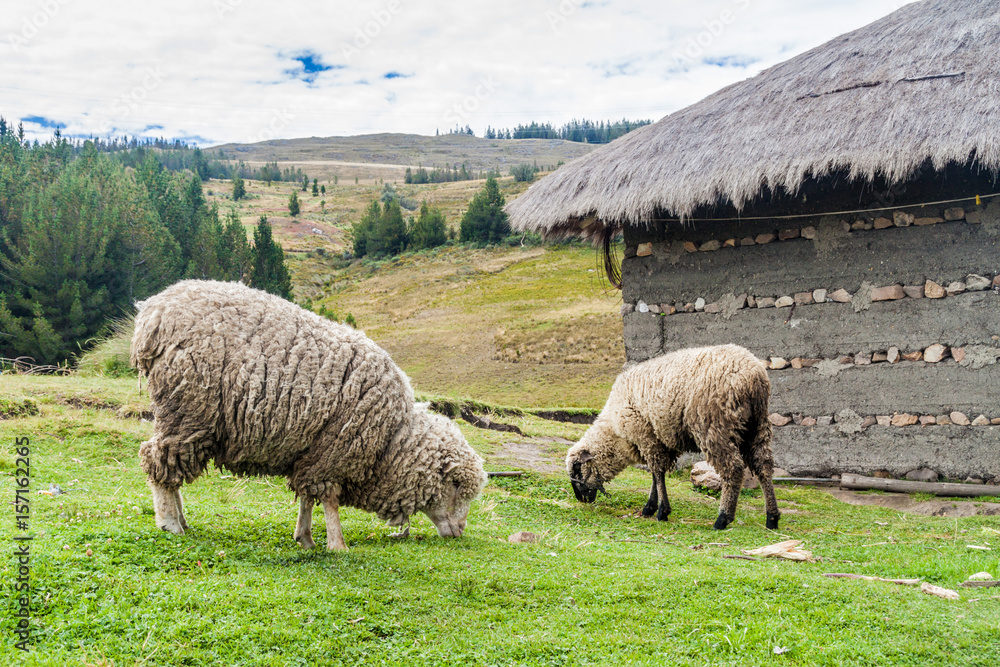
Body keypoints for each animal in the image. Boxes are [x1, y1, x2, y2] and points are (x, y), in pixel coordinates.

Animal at [130, 280, 487, 550]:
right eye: (456, 487)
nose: (460, 531)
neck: (390, 441)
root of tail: (153, 312)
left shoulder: (313, 453)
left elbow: (306, 497)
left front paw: (305, 538)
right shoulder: (333, 451)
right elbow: (328, 501)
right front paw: (337, 544)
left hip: (185, 417)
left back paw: (182, 519)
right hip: (188, 410)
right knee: (157, 460)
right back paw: (170, 522)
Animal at [566, 344, 780, 530]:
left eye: (577, 469)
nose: (580, 499)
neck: (615, 433)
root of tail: (753, 377)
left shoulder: (645, 435)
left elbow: (657, 472)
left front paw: (662, 511)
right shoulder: (659, 440)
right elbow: (655, 475)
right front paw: (650, 507)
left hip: (716, 426)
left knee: (733, 469)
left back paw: (723, 518)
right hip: (758, 426)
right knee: (763, 466)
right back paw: (772, 518)